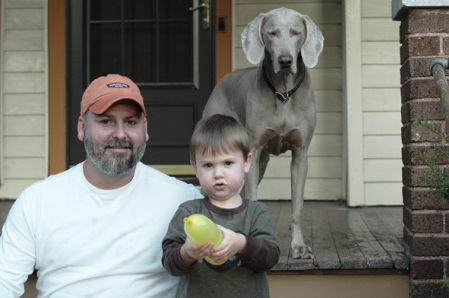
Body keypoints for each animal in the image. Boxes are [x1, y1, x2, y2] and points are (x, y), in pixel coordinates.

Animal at [202, 7, 322, 258]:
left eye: (296, 32)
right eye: (271, 33)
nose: (285, 61)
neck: (283, 92)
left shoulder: (300, 154)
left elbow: (297, 207)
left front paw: (299, 247)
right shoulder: (254, 152)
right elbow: (252, 197)